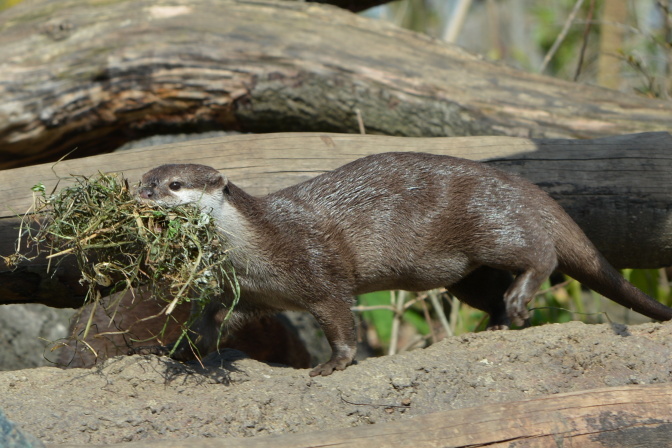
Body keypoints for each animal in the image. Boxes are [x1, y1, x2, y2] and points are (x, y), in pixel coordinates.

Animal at [136, 152, 672, 376]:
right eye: (143, 179)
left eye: (176, 185)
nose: (143, 194)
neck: (259, 247)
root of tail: (520, 184)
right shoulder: (252, 293)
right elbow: (217, 319)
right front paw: (184, 348)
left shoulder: (318, 271)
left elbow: (340, 320)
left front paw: (335, 364)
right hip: (462, 274)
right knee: (490, 290)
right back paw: (496, 325)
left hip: (489, 225)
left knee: (541, 253)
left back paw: (518, 302)